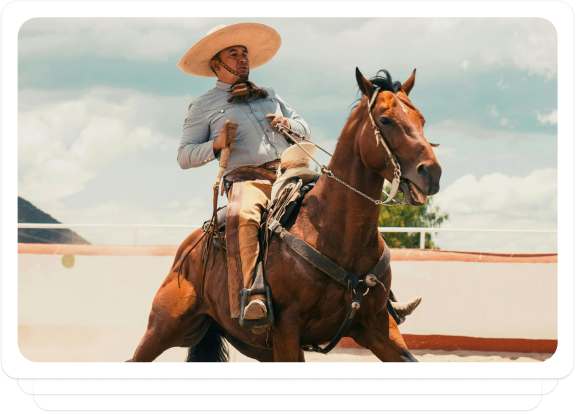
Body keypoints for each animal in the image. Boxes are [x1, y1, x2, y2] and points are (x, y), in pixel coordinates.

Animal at [130, 67, 444, 362]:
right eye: (385, 120)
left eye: (421, 120)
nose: (431, 172)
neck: (335, 233)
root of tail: (189, 251)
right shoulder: (287, 331)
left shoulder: (377, 325)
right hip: (164, 326)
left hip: (255, 346)